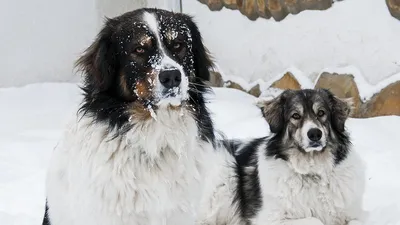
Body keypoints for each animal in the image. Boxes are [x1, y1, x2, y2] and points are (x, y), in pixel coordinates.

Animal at [197, 89, 366, 225]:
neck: (312, 174)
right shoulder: (269, 218)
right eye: (295, 116)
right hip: (223, 169)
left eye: (321, 113)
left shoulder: (353, 214)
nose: (315, 134)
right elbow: (314, 220)